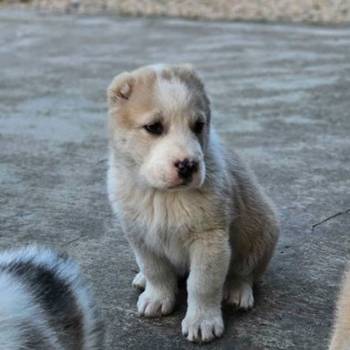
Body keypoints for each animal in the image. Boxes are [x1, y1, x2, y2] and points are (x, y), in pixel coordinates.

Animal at [106, 63, 278, 342]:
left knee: (245, 271)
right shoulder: (138, 235)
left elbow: (202, 284)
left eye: (198, 125)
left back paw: (237, 291)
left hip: (263, 231)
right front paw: (157, 297)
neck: (162, 195)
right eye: (154, 127)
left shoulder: (210, 240)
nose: (188, 165)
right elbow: (155, 269)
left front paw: (202, 321)